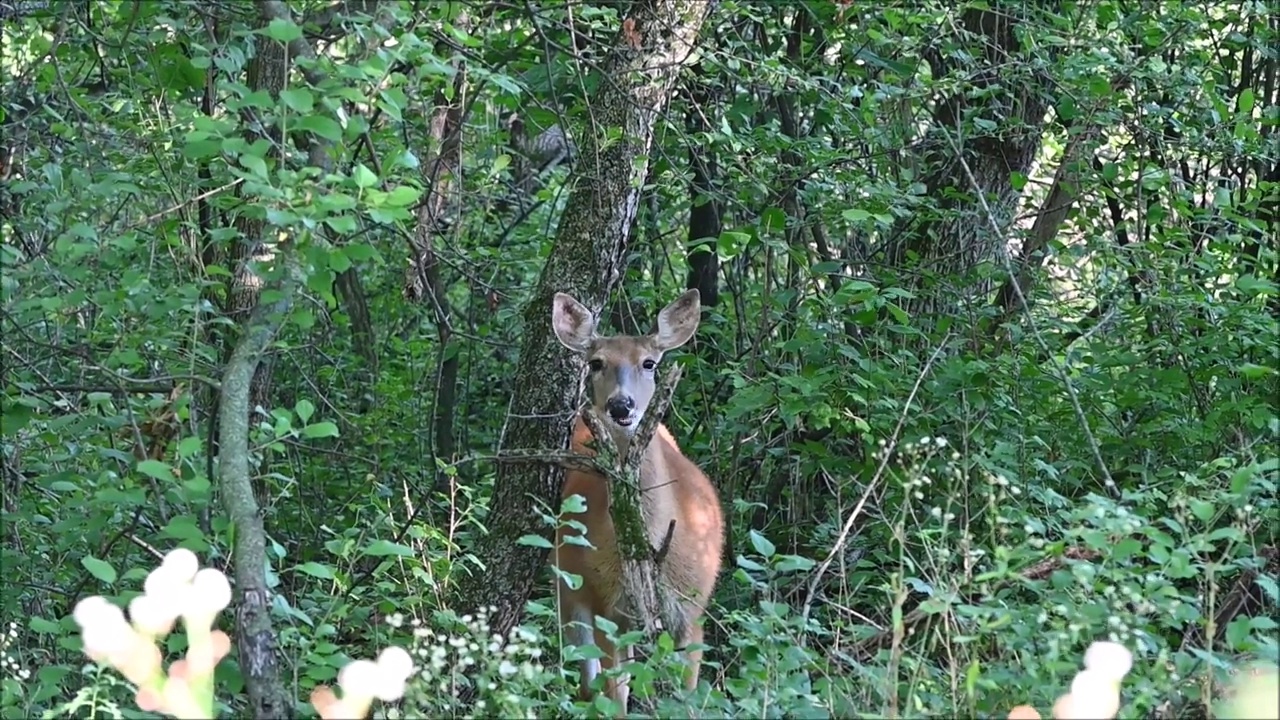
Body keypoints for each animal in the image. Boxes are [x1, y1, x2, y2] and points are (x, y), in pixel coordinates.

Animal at [550, 288, 727, 712]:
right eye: (596, 362)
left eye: (649, 362)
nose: (621, 406)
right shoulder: (607, 607)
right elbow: (616, 696)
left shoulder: (693, 608)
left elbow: (685, 696)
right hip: (568, 584)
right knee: (588, 678)